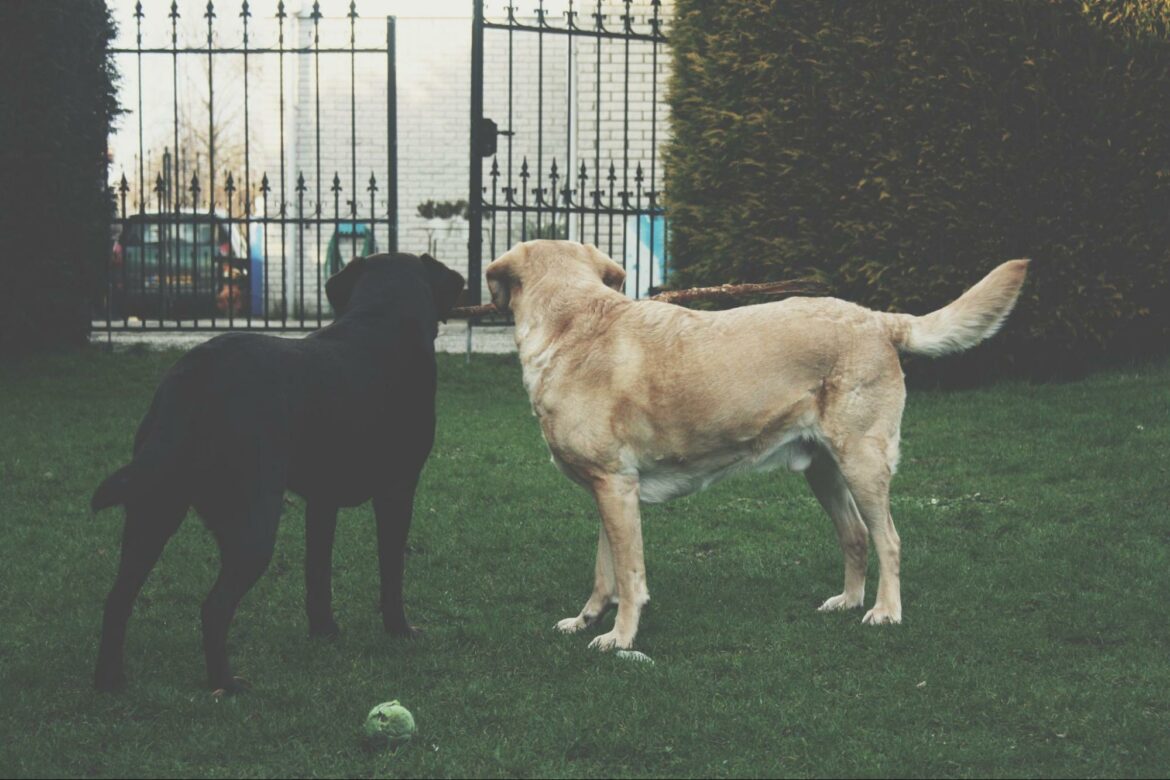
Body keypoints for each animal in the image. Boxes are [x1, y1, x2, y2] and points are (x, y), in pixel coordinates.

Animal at [92, 253, 465, 692]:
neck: (383, 315)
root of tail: (194, 375)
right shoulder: (397, 490)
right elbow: (391, 570)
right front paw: (400, 630)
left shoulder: (322, 500)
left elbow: (317, 571)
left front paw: (324, 631)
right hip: (252, 520)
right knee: (214, 607)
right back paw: (226, 684)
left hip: (152, 507)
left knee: (117, 598)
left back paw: (109, 680)